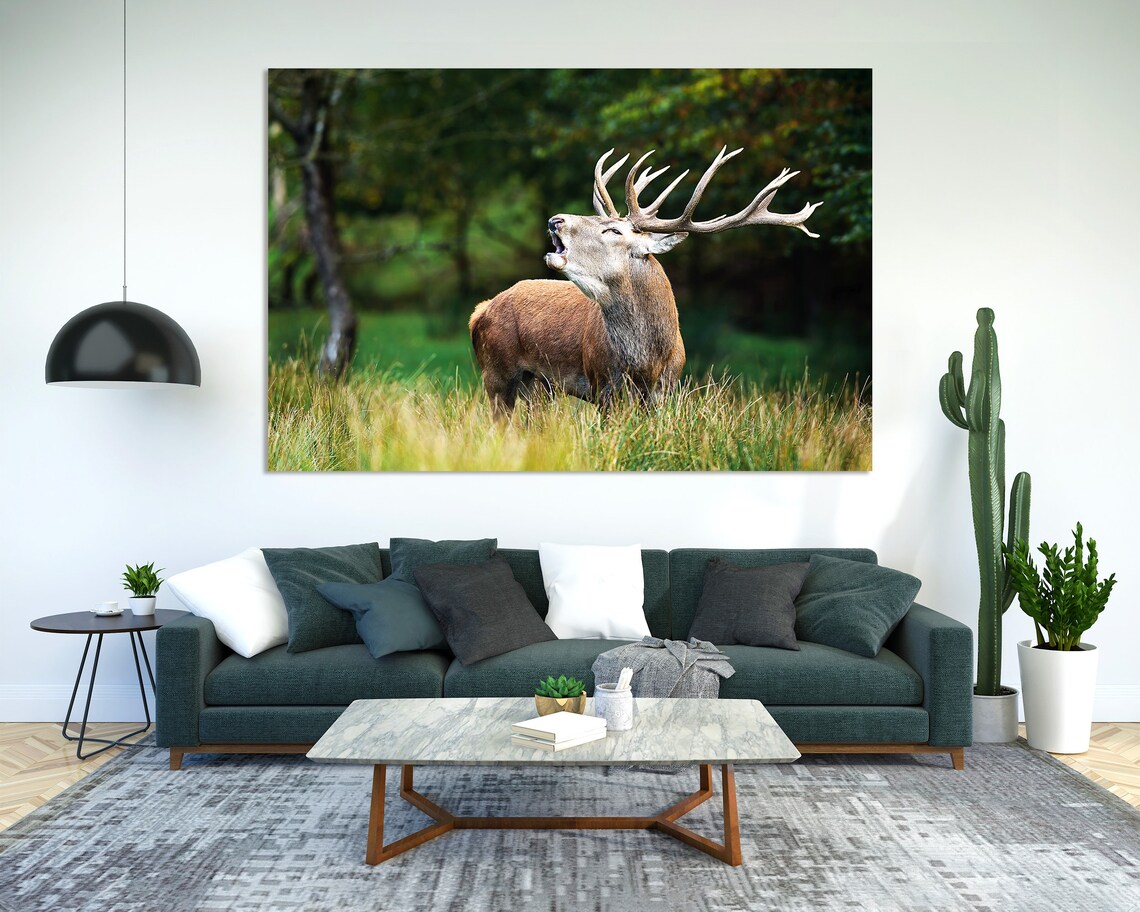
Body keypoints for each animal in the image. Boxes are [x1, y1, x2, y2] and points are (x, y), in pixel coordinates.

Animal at [468, 146, 821, 417]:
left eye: (613, 229)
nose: (556, 220)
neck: (646, 361)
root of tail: (480, 310)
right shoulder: (603, 385)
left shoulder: (665, 389)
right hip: (497, 372)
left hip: (538, 386)